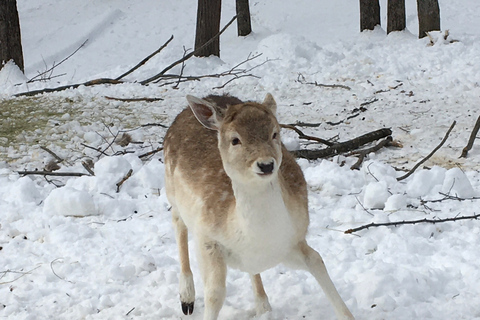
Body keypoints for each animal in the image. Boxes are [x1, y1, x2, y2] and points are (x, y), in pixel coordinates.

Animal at [163, 93, 354, 320]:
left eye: (274, 133)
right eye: (235, 139)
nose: (266, 164)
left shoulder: (292, 241)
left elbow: (317, 260)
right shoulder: (207, 240)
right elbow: (214, 294)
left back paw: (263, 306)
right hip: (171, 190)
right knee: (177, 222)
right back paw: (187, 298)